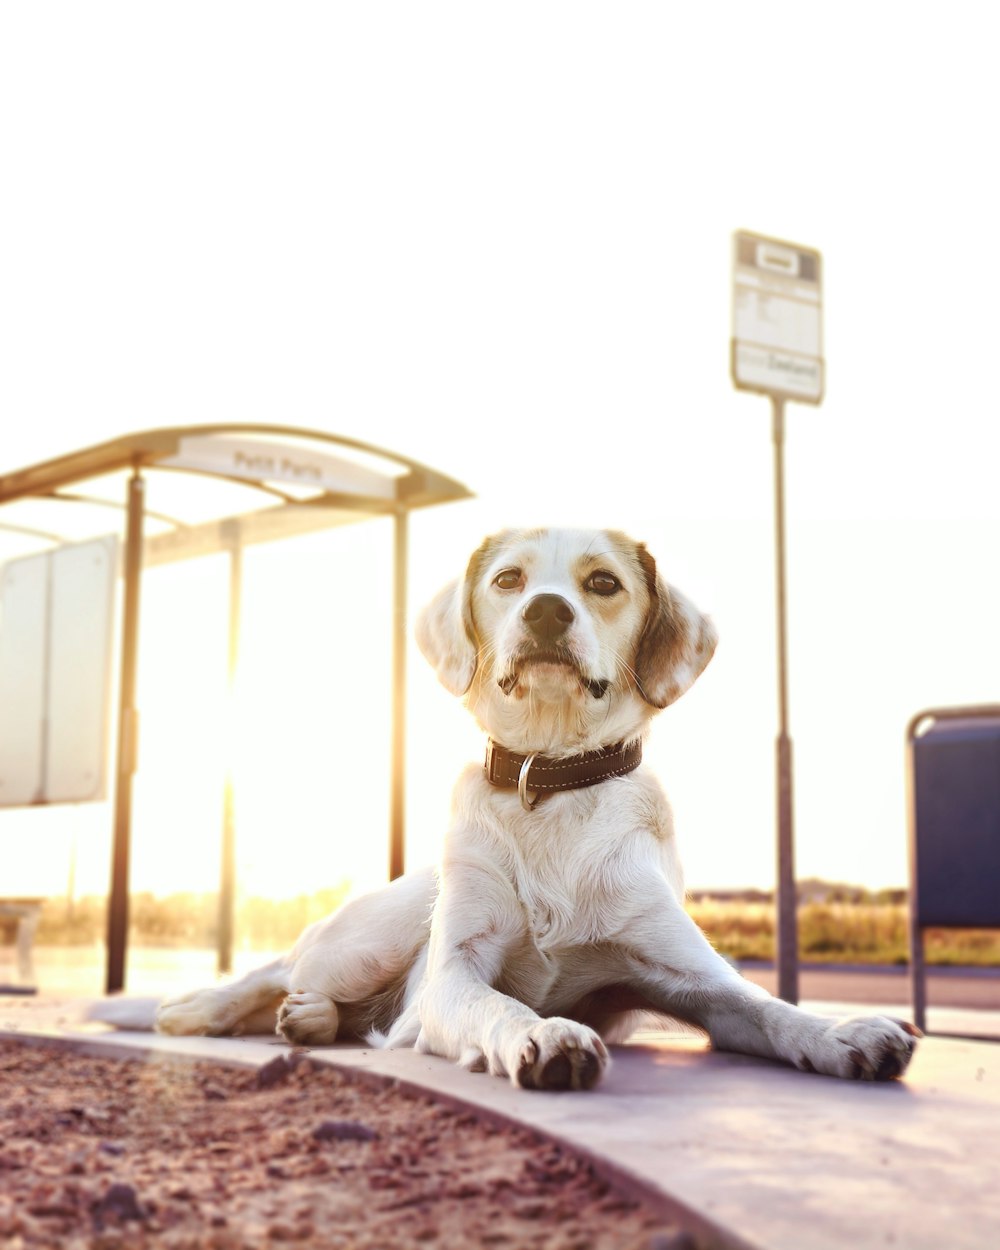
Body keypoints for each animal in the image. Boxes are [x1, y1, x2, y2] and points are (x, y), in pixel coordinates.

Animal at [152, 522, 920, 1090]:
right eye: (508, 580)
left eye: (603, 582)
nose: (547, 608)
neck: (549, 781)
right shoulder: (455, 974)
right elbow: (499, 1002)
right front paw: (542, 1032)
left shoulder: (694, 978)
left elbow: (764, 1007)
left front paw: (843, 1030)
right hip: (369, 939)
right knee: (279, 969)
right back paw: (193, 1010)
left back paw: (310, 1020)